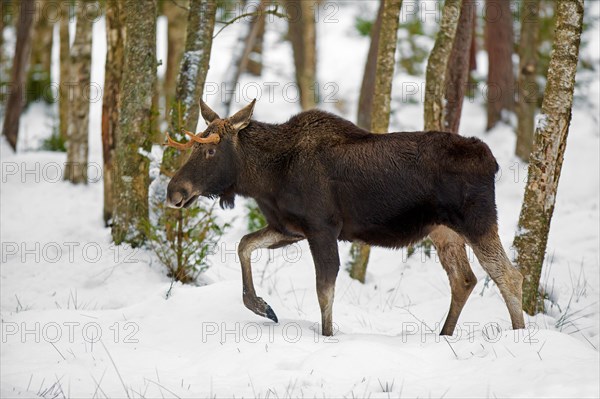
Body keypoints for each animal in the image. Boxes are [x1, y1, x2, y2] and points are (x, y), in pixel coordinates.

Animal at [165, 100, 524, 338]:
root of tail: (492, 161)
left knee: (508, 274)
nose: (174, 191)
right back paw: (445, 334)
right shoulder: (289, 228)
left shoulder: (322, 227)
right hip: (443, 230)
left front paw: (327, 336)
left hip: (477, 221)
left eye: (210, 150)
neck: (266, 179)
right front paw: (262, 306)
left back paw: (518, 334)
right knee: (464, 279)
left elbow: (325, 288)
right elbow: (244, 245)